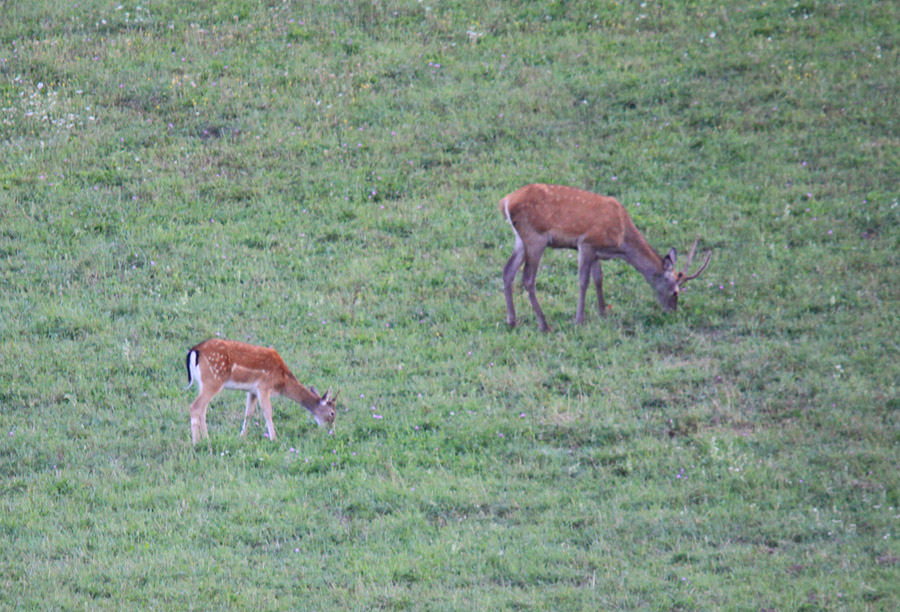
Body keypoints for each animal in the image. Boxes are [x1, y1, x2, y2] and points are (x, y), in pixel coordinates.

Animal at [184, 340, 338, 444]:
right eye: (332, 413)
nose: (331, 431)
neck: (282, 381)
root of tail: (194, 351)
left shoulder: (252, 390)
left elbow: (249, 413)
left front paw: (242, 437)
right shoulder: (264, 386)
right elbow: (268, 412)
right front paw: (274, 438)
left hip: (203, 383)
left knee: (203, 409)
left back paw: (207, 438)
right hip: (213, 380)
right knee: (194, 406)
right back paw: (196, 442)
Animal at [500, 184, 712, 332]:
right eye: (676, 292)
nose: (672, 311)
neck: (620, 242)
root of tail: (506, 201)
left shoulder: (597, 251)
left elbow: (598, 279)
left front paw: (603, 313)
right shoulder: (586, 242)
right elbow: (583, 281)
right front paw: (579, 320)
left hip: (521, 239)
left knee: (507, 270)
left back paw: (512, 321)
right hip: (536, 237)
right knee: (528, 278)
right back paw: (544, 325)